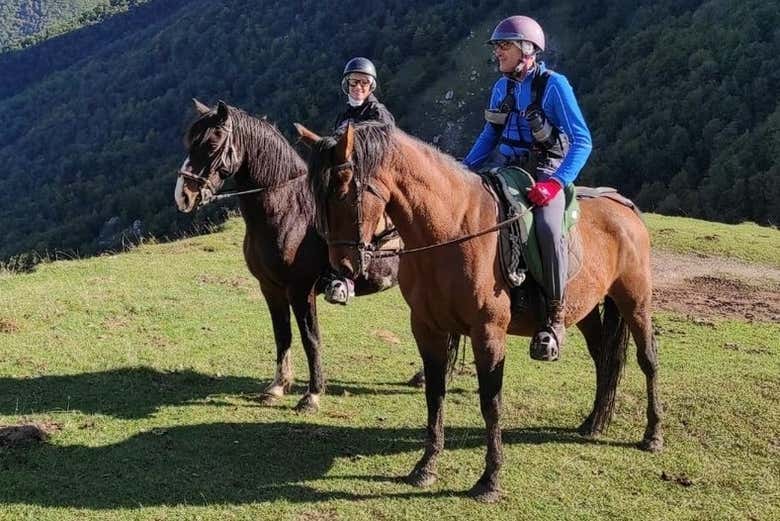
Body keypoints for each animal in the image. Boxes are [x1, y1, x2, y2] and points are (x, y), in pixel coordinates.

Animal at [174, 100, 399, 411]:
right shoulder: (270, 288)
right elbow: (283, 335)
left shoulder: (301, 289)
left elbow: (310, 338)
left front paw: (312, 395)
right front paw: (277, 387)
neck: (288, 211)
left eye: (211, 144)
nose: (183, 196)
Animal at [296, 121, 662, 502]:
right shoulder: (426, 328)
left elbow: (491, 402)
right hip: (585, 309)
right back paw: (593, 421)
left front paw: (490, 478)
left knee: (647, 359)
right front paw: (426, 466)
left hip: (635, 301)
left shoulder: (488, 332)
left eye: (342, 189)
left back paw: (652, 434)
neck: (451, 230)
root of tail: (623, 206)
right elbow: (435, 394)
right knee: (603, 358)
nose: (341, 267)